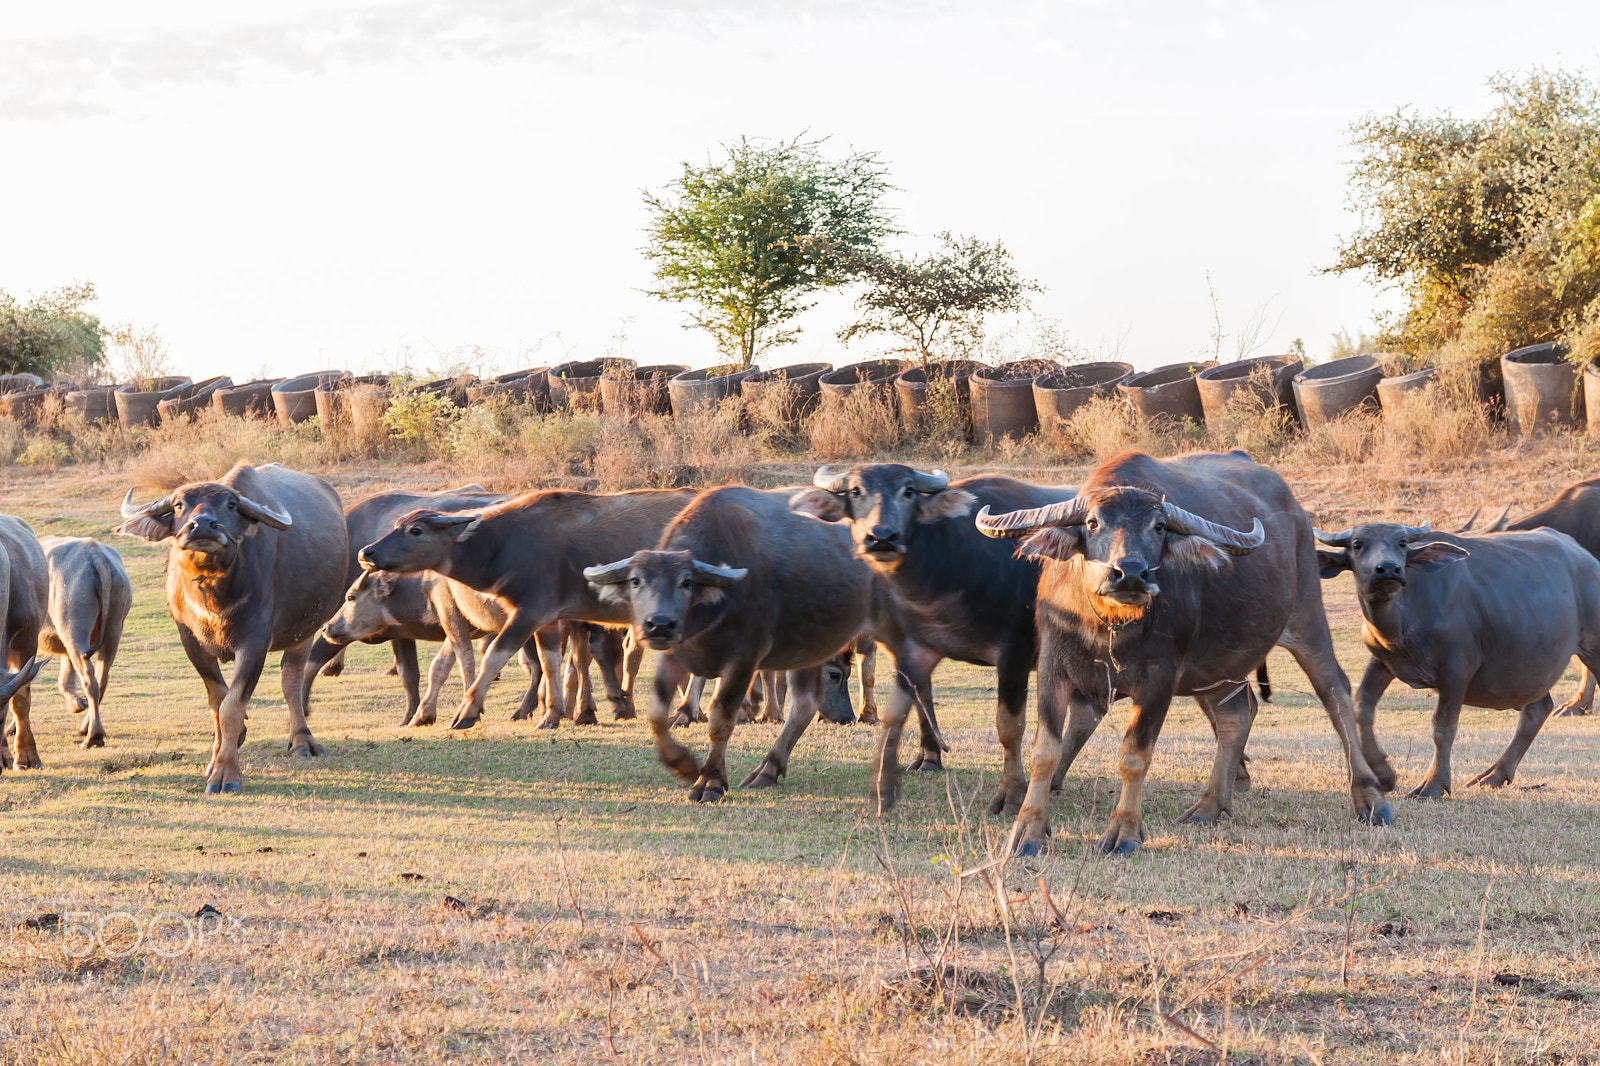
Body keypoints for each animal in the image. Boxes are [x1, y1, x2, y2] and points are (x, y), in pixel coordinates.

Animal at [38, 536, 132, 748]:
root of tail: (96, 556)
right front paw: (77, 704)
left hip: (73, 614)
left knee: (89, 677)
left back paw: (93, 737)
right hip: (115, 621)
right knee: (101, 677)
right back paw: (86, 725)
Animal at [118, 462, 346, 793]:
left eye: (230, 505)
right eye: (179, 504)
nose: (202, 526)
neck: (214, 593)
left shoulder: (254, 643)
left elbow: (232, 707)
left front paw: (225, 773)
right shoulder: (190, 641)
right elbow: (217, 701)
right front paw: (221, 753)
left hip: (304, 630)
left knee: (291, 681)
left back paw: (302, 741)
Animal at [976, 449, 1393, 856]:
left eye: (1159, 527)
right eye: (1092, 523)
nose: (1131, 573)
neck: (1107, 624)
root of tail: (1298, 515)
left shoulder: (1160, 678)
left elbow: (1134, 756)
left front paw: (1124, 832)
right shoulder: (1053, 668)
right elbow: (1045, 750)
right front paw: (1028, 831)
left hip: (1306, 615)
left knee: (1335, 692)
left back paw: (1370, 798)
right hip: (1218, 662)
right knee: (1237, 713)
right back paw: (1209, 806)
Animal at [1316, 522, 1600, 796]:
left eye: (1402, 543)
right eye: (1357, 544)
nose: (1388, 569)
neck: (1403, 621)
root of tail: (1587, 559)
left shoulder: (1456, 671)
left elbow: (1443, 727)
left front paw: (1433, 785)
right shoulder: (1382, 662)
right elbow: (1362, 707)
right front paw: (1383, 772)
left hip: (1589, 648)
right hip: (1525, 670)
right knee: (1537, 709)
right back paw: (1494, 776)